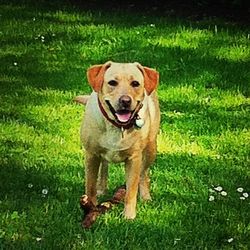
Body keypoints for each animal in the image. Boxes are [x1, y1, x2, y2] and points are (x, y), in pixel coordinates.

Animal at [77, 61, 160, 219]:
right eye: (112, 82)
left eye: (135, 83)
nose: (125, 101)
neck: (117, 126)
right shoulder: (91, 154)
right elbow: (90, 185)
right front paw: (90, 206)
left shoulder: (134, 158)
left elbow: (131, 190)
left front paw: (129, 216)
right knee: (104, 167)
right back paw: (101, 188)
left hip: (151, 149)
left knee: (144, 174)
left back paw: (145, 195)